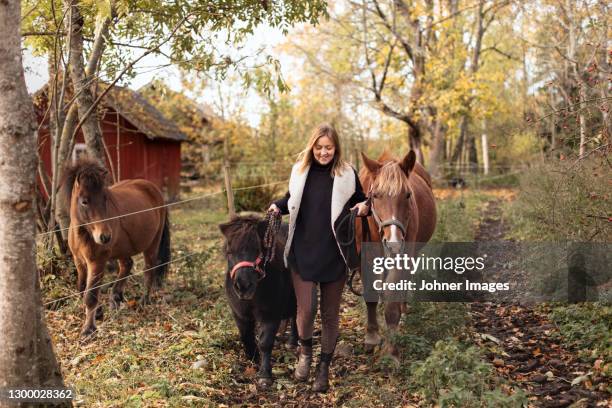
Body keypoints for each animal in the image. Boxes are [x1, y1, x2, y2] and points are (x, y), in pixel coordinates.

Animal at [61, 158, 170, 336]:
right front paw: (98, 313)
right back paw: (116, 297)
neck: (84, 234)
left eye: (105, 199)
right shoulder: (79, 262)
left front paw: (88, 329)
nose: (105, 236)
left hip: (152, 244)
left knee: (149, 269)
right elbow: (82, 288)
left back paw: (144, 301)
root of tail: (154, 189)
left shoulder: (97, 263)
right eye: (84, 201)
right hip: (122, 248)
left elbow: (90, 295)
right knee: (127, 265)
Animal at [219, 214, 298, 388]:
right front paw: (252, 359)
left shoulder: (270, 314)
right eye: (229, 252)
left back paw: (292, 342)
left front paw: (264, 375)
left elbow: (265, 342)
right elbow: (246, 336)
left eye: (257, 250)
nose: (243, 286)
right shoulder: (239, 314)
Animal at [356, 150, 438, 360]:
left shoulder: (403, 256)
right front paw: (372, 337)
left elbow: (392, 301)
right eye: (375, 195)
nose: (393, 242)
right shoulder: (365, 260)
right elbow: (370, 294)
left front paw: (391, 352)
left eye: (407, 195)